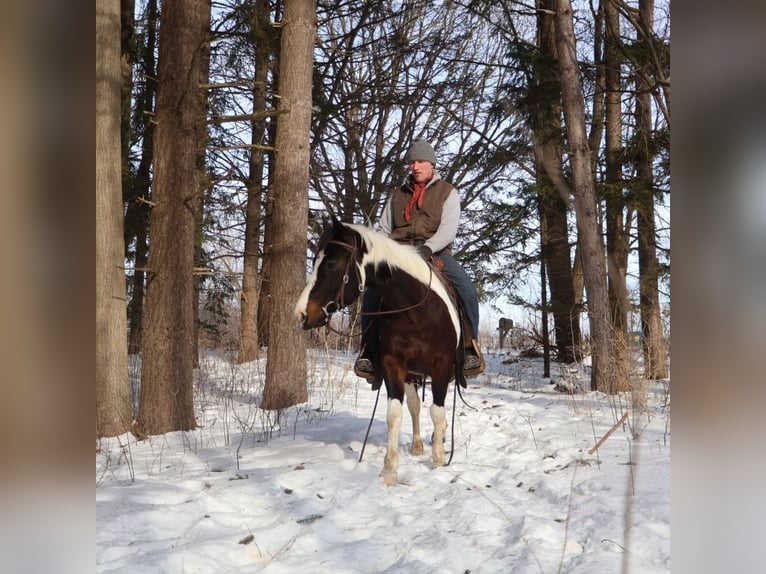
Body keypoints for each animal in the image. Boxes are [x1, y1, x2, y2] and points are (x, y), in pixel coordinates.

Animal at [293, 216, 467, 486]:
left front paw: (438, 461)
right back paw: (417, 445)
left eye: (331, 263)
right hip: (411, 374)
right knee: (414, 406)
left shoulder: (441, 366)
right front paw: (390, 471)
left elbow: (437, 412)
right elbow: (395, 413)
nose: (301, 314)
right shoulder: (393, 365)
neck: (416, 311)